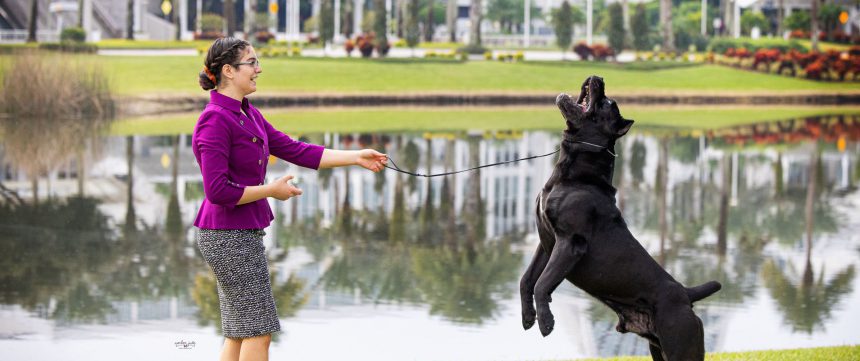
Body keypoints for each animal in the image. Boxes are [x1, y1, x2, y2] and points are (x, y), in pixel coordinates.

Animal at [520, 74, 724, 358]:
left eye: (607, 103)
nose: (598, 78)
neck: (574, 174)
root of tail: (686, 295)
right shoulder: (546, 241)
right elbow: (527, 279)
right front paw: (529, 316)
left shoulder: (570, 242)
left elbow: (543, 282)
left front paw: (546, 321)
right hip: (657, 348)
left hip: (682, 347)